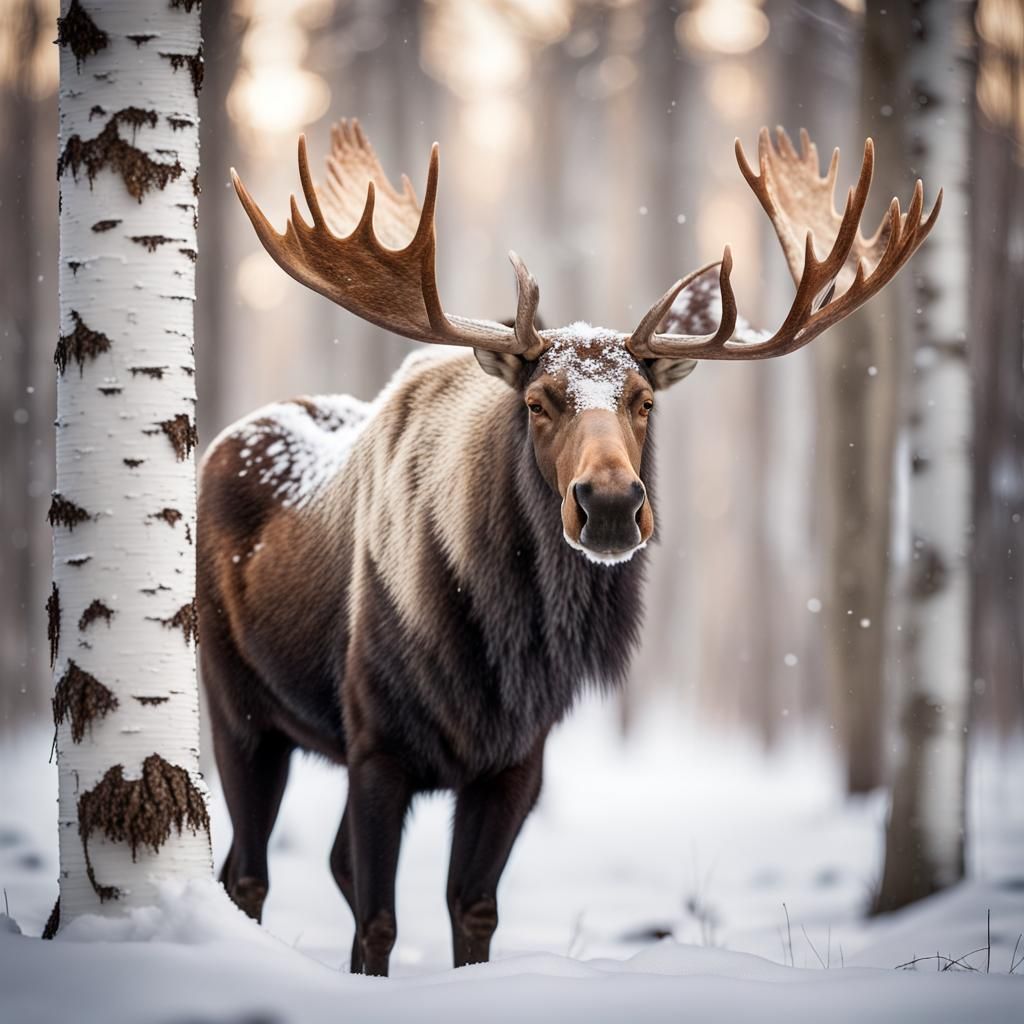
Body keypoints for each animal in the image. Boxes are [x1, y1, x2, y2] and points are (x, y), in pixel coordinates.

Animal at [198, 119, 939, 977]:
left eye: (644, 400)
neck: (498, 641)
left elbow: (473, 910)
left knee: (303, 865)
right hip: (237, 706)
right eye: (538, 401)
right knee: (248, 871)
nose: (611, 504)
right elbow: (377, 925)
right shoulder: (375, 741)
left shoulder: (521, 758)